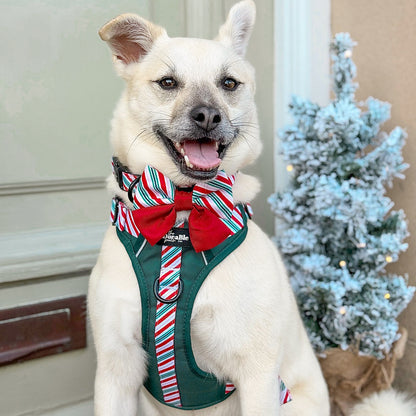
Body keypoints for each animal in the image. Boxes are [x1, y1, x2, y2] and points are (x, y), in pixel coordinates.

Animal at [89, 1, 330, 414]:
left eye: (229, 84)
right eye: (168, 83)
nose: (207, 116)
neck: (181, 210)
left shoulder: (258, 374)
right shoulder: (114, 372)